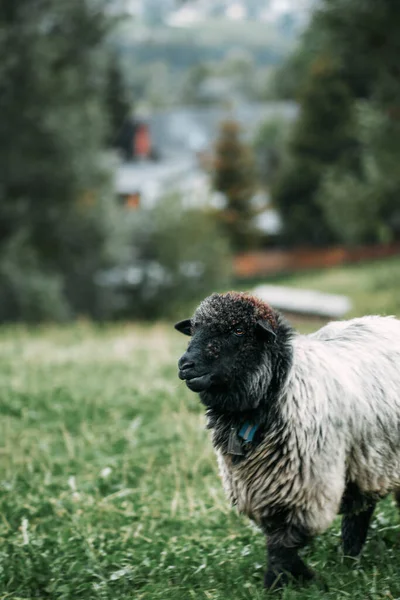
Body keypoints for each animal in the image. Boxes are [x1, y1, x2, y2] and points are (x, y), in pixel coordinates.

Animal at [176, 292, 400, 588]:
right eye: (194, 329)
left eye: (239, 331)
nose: (185, 365)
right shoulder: (262, 487)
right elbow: (278, 538)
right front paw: (294, 577)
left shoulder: (307, 486)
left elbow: (283, 542)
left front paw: (287, 581)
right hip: (366, 462)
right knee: (361, 511)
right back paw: (350, 558)